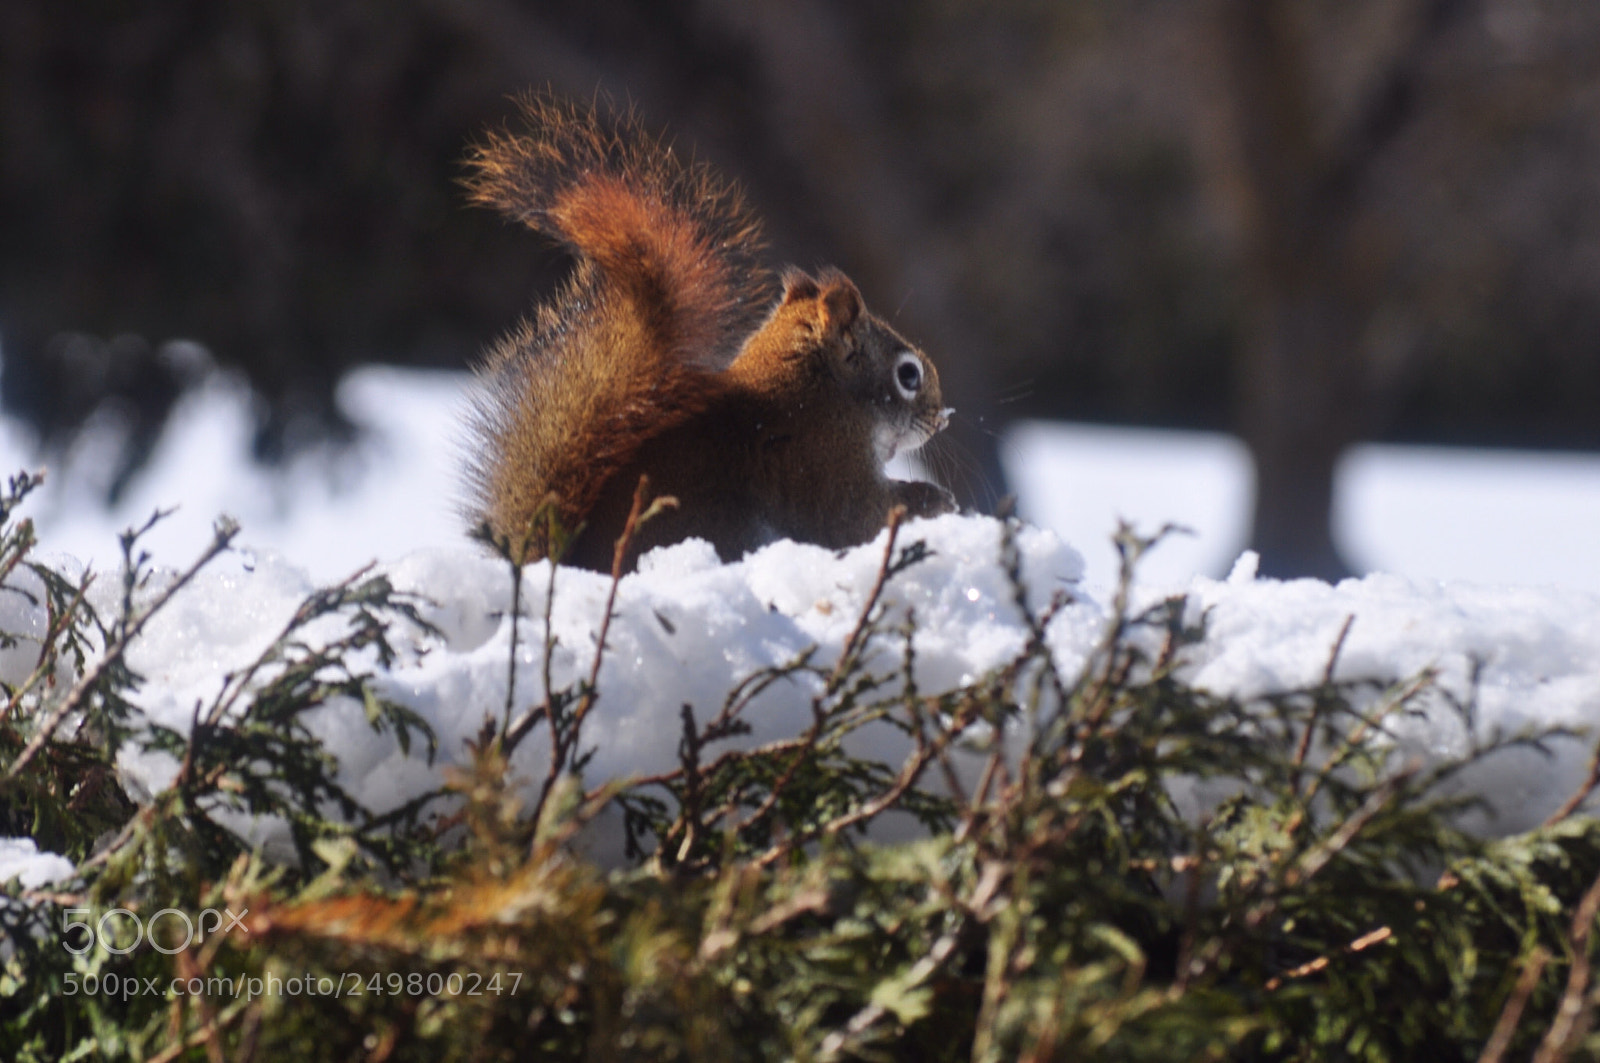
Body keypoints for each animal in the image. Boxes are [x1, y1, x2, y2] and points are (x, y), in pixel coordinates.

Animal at [460, 96, 955, 572]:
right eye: (908, 375)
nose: (942, 418)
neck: (822, 389)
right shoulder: (821, 460)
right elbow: (856, 517)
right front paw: (933, 499)